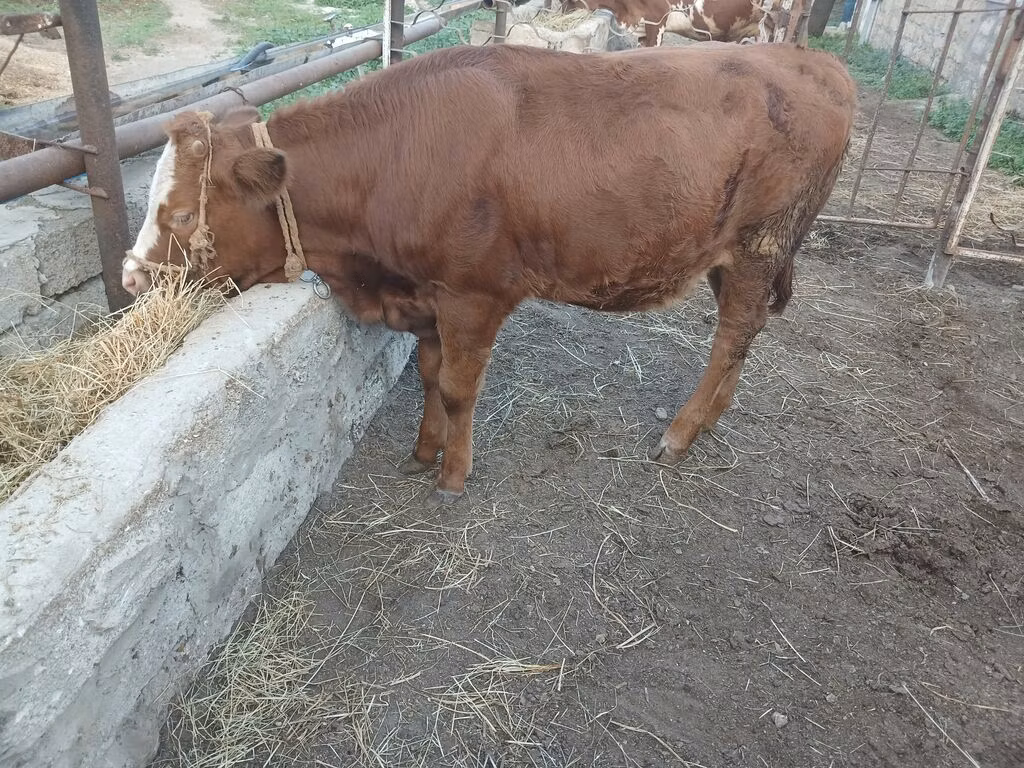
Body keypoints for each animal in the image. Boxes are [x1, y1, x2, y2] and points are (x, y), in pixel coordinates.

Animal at [122, 42, 855, 507]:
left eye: (180, 213)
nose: (131, 280)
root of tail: (811, 60)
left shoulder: (472, 295)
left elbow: (456, 388)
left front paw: (452, 475)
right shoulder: (423, 295)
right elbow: (426, 375)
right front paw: (422, 452)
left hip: (760, 246)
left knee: (732, 336)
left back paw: (680, 433)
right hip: (734, 257)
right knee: (744, 335)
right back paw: (708, 420)